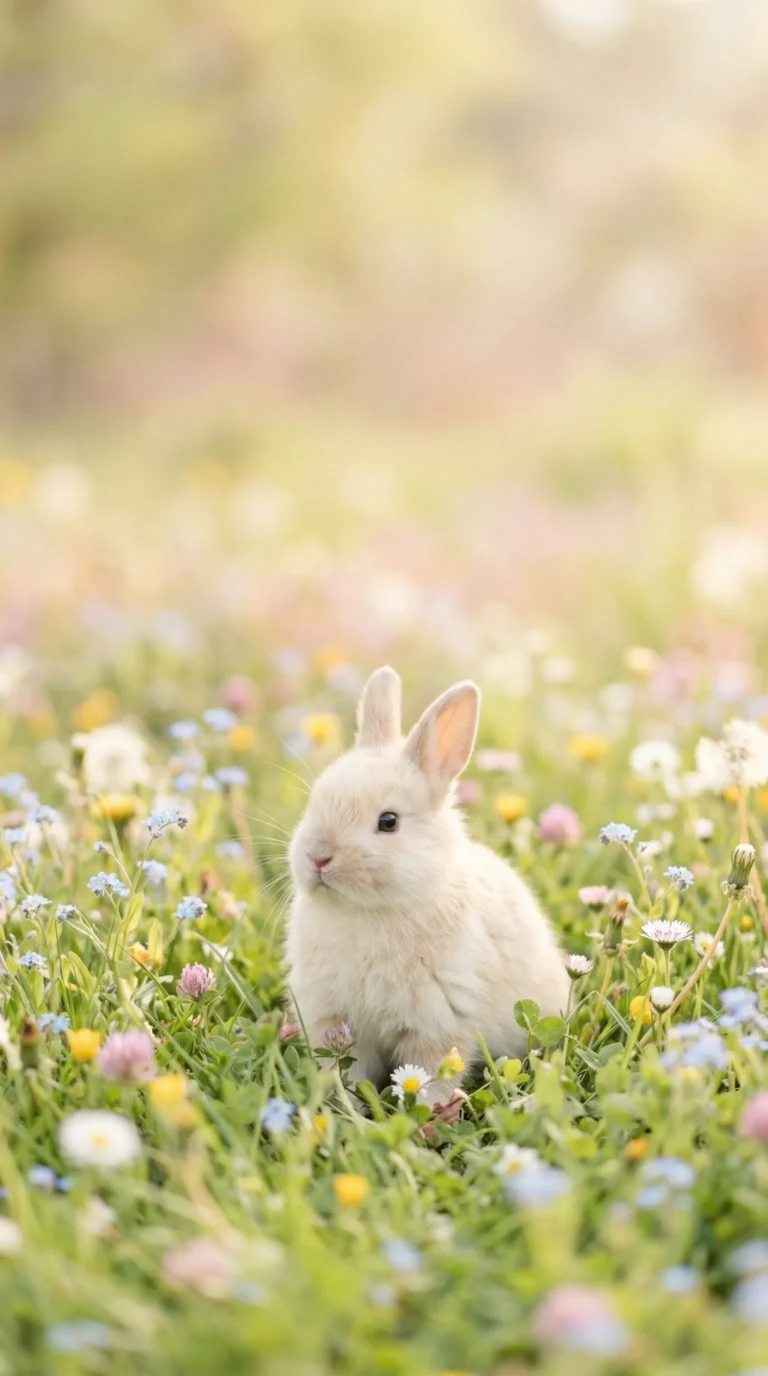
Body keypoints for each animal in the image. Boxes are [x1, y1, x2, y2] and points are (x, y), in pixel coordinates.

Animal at [285, 666, 569, 1112]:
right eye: (314, 802)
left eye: (388, 821)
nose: (318, 857)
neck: (367, 910)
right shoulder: (337, 1022)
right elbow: (349, 1072)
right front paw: (346, 1108)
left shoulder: (439, 1024)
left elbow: (431, 1073)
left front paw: (426, 1112)